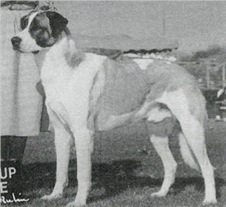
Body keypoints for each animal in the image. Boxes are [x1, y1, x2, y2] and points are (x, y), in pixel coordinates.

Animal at [11, 10, 216, 207]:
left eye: (37, 28)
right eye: (23, 25)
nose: (14, 40)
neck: (64, 68)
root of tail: (186, 73)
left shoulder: (83, 133)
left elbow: (82, 174)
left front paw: (79, 201)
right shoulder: (61, 133)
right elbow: (60, 171)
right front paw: (55, 196)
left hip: (192, 129)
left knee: (208, 167)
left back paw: (210, 200)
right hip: (157, 133)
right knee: (171, 165)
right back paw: (161, 194)